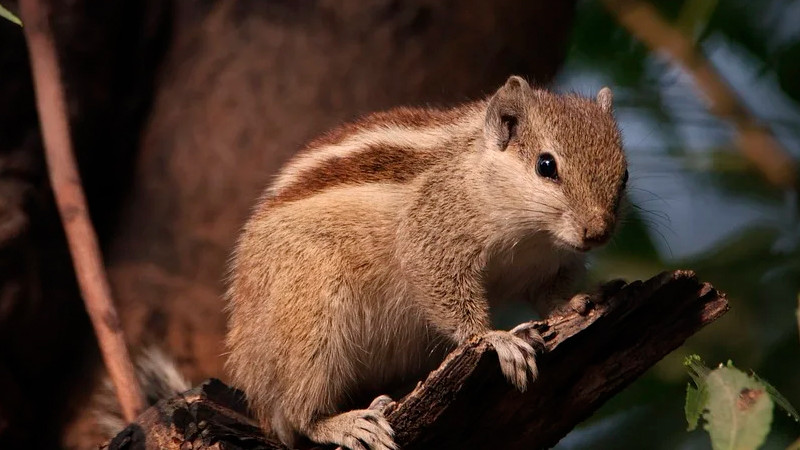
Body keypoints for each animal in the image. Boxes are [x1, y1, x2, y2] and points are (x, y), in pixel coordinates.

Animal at [222, 75, 628, 448]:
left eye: (624, 175)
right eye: (546, 165)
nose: (598, 233)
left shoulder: (551, 263)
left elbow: (549, 293)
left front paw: (574, 302)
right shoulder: (433, 236)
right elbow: (444, 288)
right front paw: (495, 338)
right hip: (310, 315)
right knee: (297, 413)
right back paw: (344, 424)